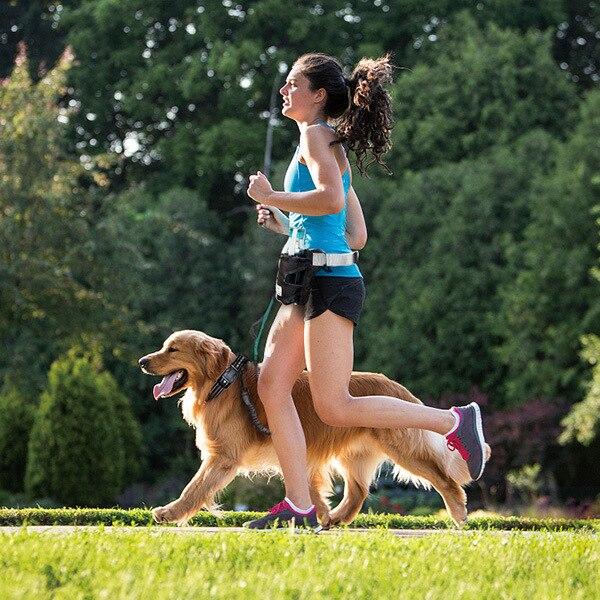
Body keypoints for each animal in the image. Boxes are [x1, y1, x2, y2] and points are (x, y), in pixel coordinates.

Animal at [138, 330, 490, 528]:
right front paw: (315, 515)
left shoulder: (223, 457)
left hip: (402, 447)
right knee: (358, 492)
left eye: (172, 349)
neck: (223, 383)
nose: (142, 361)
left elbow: (194, 488)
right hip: (354, 453)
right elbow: (311, 488)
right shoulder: (295, 451)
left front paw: (169, 513)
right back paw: (336, 518)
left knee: (443, 478)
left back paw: (459, 507)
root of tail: (396, 387)